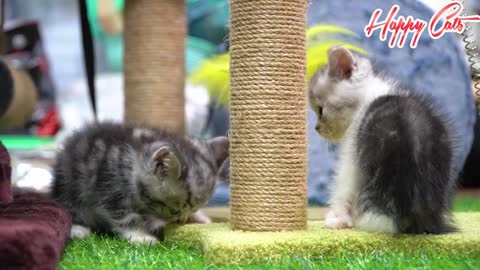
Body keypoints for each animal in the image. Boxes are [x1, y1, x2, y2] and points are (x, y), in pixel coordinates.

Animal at [50, 122, 229, 245]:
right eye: (173, 211)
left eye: (195, 208)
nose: (181, 221)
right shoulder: (110, 190)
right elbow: (127, 217)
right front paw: (141, 236)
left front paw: (196, 217)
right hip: (69, 188)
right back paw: (77, 229)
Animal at [312, 46, 458, 234]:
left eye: (320, 110)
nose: (316, 128)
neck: (367, 96)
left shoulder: (351, 155)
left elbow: (344, 188)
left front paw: (338, 218)